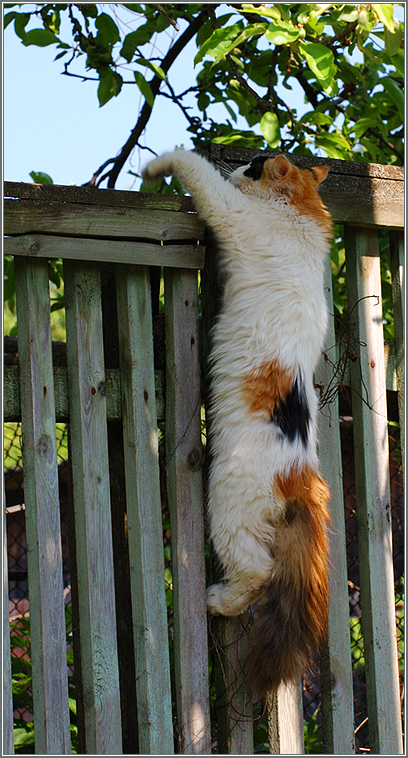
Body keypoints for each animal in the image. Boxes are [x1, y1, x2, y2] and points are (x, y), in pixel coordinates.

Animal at [142, 150, 334, 700]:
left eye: (253, 165)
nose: (239, 165)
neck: (301, 216)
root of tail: (304, 477)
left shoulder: (231, 214)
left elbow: (193, 166)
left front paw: (156, 167)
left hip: (225, 504)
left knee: (258, 572)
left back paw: (216, 600)